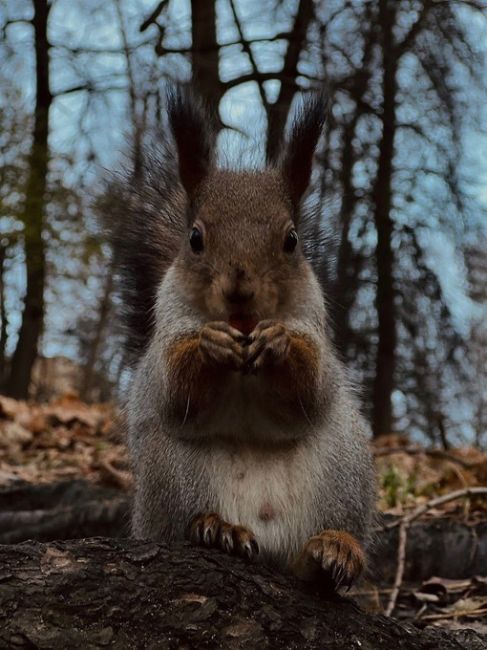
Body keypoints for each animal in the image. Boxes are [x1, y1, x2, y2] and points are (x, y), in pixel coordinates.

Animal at [108, 85, 378, 588]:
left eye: (291, 240)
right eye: (195, 238)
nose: (240, 292)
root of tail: (268, 539)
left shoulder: (315, 326)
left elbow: (312, 386)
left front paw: (280, 343)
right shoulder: (166, 333)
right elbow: (174, 385)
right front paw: (210, 346)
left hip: (343, 466)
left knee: (313, 553)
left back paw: (333, 550)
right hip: (170, 471)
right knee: (185, 520)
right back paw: (217, 530)